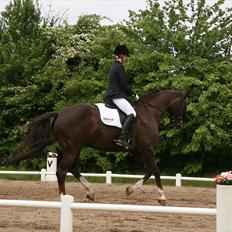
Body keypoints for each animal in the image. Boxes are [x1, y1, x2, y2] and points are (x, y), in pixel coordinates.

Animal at [9, 88, 187, 205]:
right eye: (184, 104)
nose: (179, 123)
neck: (149, 113)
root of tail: (60, 113)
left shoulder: (137, 150)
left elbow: (149, 171)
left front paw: (129, 189)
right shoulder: (147, 149)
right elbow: (156, 171)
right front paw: (162, 197)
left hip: (74, 148)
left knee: (73, 169)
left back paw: (90, 192)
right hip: (73, 148)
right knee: (62, 171)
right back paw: (64, 198)